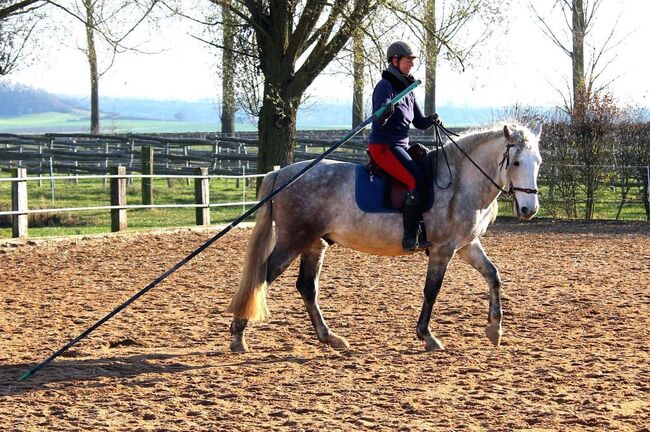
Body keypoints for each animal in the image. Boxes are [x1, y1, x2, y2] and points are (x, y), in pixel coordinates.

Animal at [225, 123, 540, 352]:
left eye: (537, 161)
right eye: (515, 162)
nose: (529, 209)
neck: (461, 182)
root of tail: (282, 174)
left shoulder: (466, 245)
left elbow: (493, 276)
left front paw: (495, 329)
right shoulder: (443, 249)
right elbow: (432, 291)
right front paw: (427, 336)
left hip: (314, 243)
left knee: (306, 287)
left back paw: (330, 338)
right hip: (292, 240)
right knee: (263, 277)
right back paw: (238, 337)